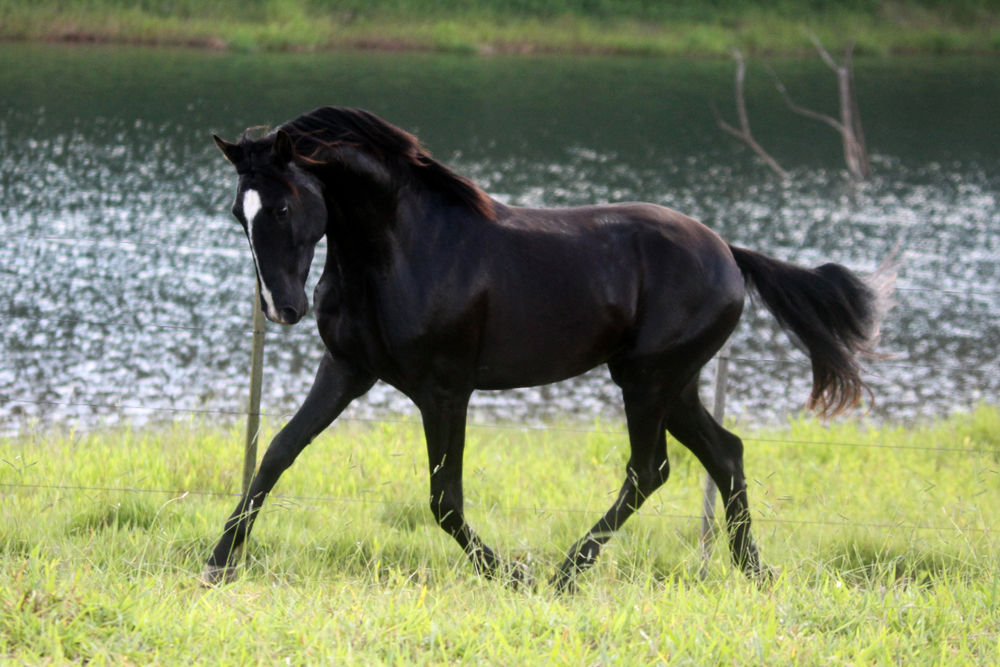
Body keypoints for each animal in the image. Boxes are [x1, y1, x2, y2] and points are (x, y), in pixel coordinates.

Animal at [201, 106, 893, 592]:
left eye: (284, 206)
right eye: (240, 212)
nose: (282, 308)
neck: (402, 248)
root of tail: (728, 251)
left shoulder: (444, 389)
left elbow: (444, 499)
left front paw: (510, 574)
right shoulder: (347, 369)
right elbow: (276, 454)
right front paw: (216, 565)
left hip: (648, 381)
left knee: (650, 470)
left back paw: (564, 573)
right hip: (673, 383)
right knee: (726, 454)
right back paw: (753, 571)